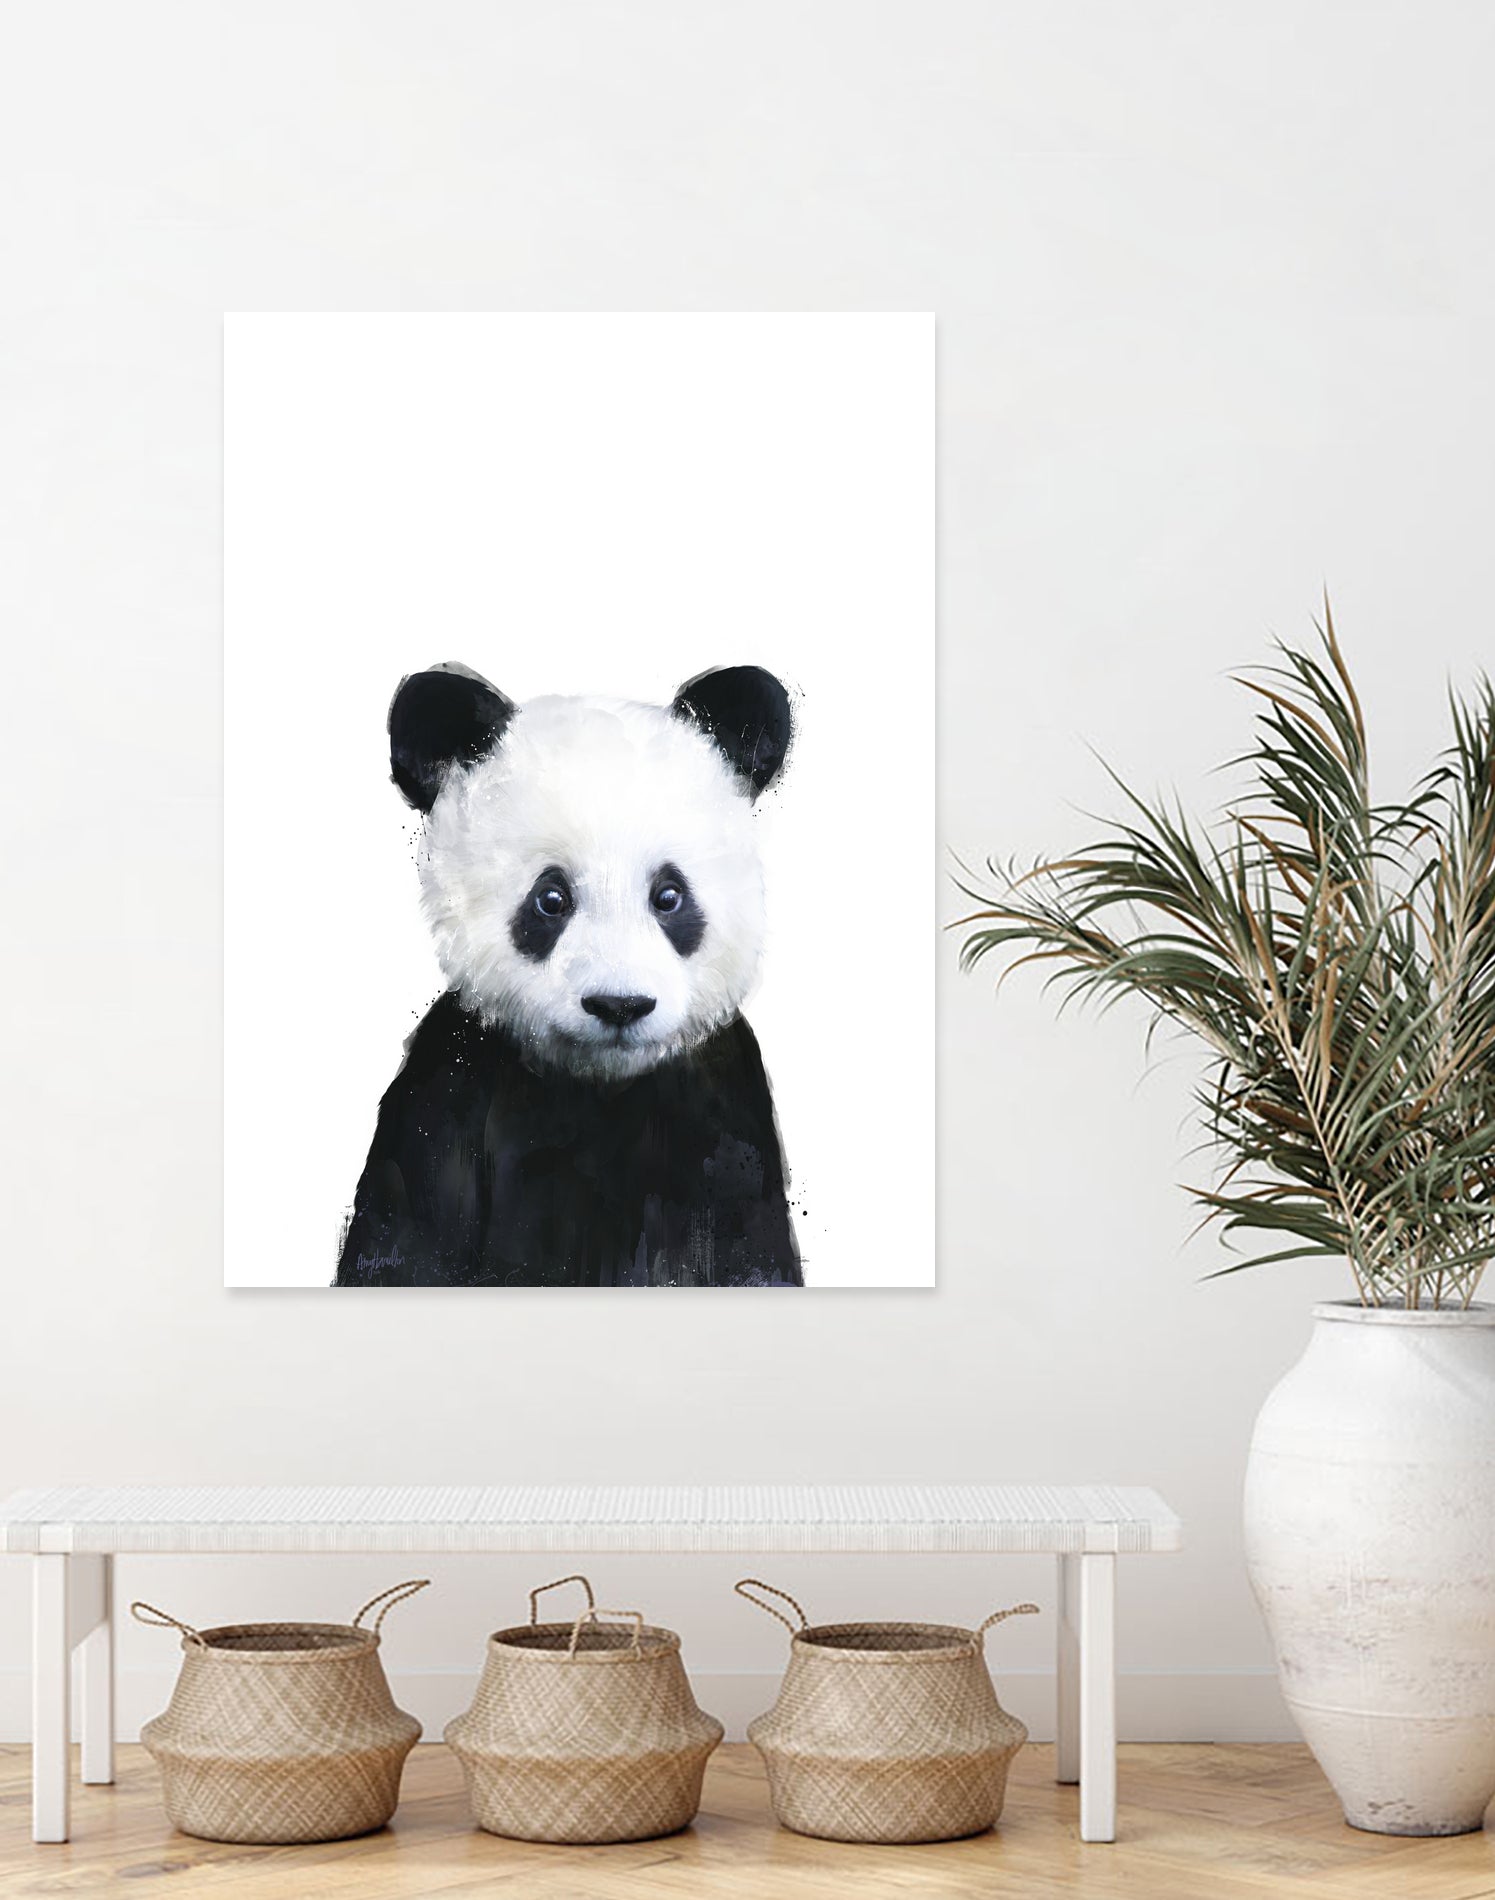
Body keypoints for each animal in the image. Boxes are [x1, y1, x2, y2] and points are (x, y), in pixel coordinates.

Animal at [335, 661, 803, 1288]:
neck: (598, 1085)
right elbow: (405, 1241)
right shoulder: (448, 1091)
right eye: (551, 898)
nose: (619, 1005)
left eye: (669, 896)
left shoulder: (723, 1111)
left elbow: (748, 1252)